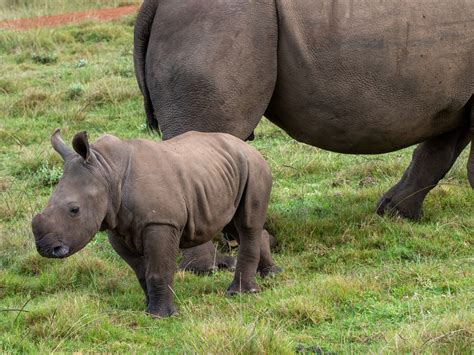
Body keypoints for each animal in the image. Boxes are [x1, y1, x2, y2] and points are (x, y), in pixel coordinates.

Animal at [32, 130, 282, 318]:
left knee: (246, 224)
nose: (46, 249)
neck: (106, 170)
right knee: (233, 223)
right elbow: (141, 271)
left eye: (74, 210)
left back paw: (239, 293)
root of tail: (247, 146)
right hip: (222, 173)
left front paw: (160, 316)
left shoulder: (160, 223)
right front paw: (147, 308)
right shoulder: (116, 227)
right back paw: (270, 275)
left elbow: (158, 270)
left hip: (254, 167)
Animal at [133, 0, 474, 270]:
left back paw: (251, 243)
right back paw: (213, 267)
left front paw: (395, 214)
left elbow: (438, 152)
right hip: (216, 25)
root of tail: (155, 4)